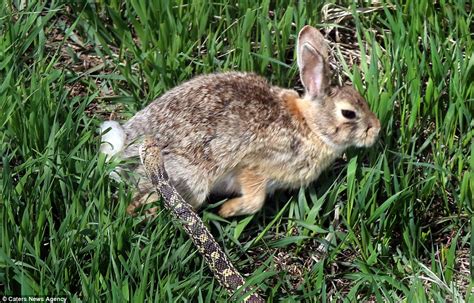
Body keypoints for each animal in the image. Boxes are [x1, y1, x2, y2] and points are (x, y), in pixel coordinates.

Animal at [100, 25, 382, 217]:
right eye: (349, 113)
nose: (376, 130)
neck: (310, 125)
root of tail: (122, 151)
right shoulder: (256, 165)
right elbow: (256, 200)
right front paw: (227, 210)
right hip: (189, 180)